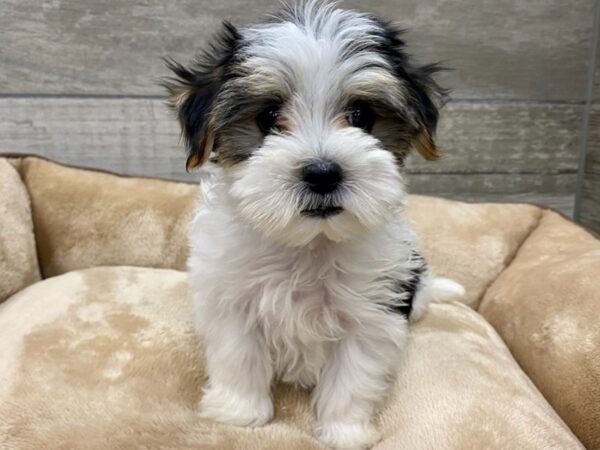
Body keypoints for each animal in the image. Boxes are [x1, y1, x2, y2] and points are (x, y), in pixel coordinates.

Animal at [163, 1, 464, 448]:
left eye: (361, 115)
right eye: (269, 117)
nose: (323, 173)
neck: (308, 244)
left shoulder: (371, 316)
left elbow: (353, 378)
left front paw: (345, 432)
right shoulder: (230, 301)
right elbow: (238, 356)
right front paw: (239, 412)